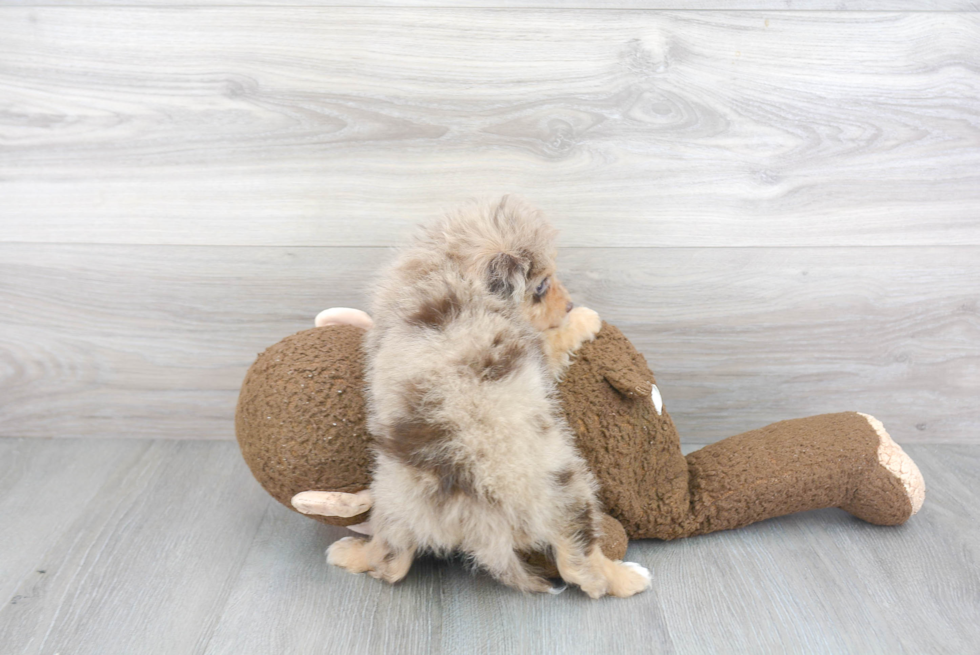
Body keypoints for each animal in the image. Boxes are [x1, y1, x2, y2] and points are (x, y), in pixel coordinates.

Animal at [328, 196, 652, 600]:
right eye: (541, 286)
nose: (569, 303)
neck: (447, 269)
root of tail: (473, 514)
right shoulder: (533, 346)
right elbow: (556, 338)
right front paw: (584, 319)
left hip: (393, 504)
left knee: (390, 560)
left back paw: (348, 553)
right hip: (568, 492)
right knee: (581, 566)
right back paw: (627, 577)